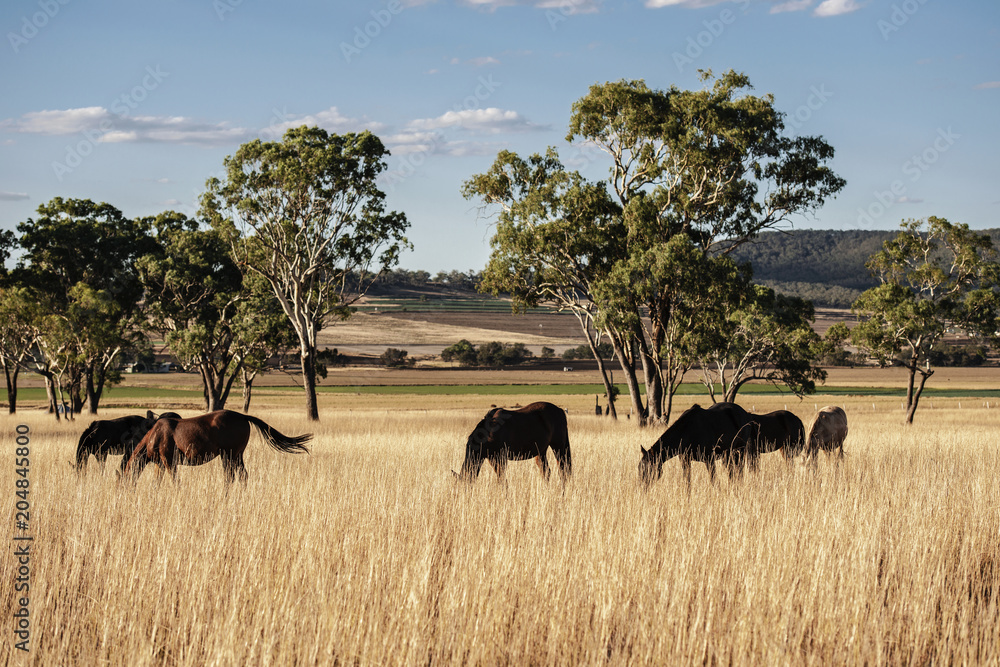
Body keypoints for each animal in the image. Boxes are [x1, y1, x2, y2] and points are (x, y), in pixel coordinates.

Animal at [122, 410, 311, 485]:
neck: (155, 434)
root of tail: (243, 416)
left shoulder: (169, 462)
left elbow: (175, 481)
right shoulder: (160, 464)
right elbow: (157, 483)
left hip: (229, 455)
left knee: (231, 477)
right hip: (235, 456)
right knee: (241, 476)